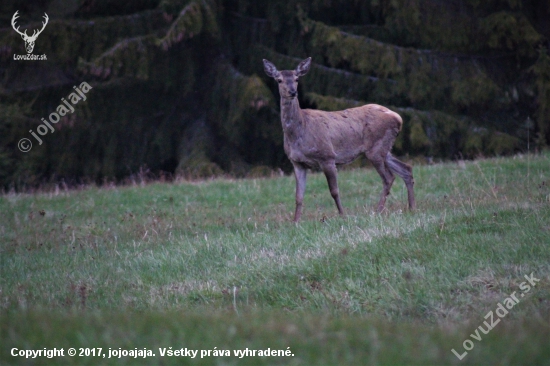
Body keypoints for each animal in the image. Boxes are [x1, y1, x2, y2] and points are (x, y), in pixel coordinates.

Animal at [266, 58, 416, 223]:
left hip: (376, 148)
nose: (293, 92)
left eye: (297, 79)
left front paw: (342, 215)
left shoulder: (327, 157)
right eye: (279, 80)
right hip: (384, 148)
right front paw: (295, 222)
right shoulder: (297, 163)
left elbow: (334, 191)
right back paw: (411, 208)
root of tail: (398, 118)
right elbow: (298, 196)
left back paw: (378, 211)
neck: (299, 132)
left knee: (389, 177)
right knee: (406, 169)